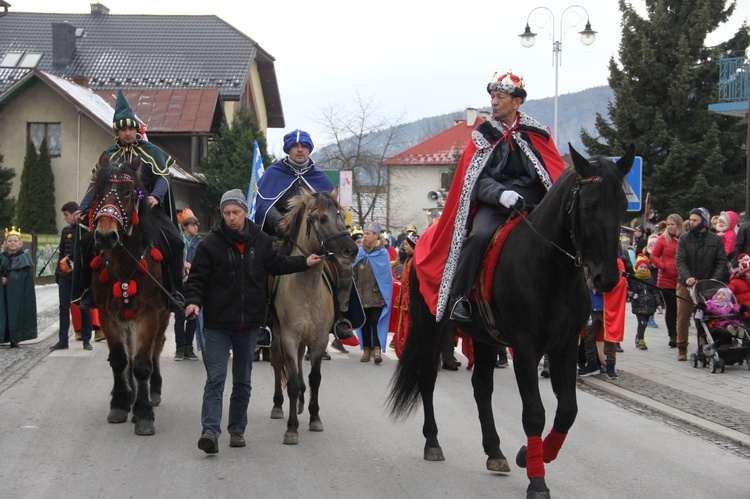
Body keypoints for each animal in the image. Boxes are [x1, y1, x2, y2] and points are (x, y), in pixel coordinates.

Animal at [89, 154, 171, 436]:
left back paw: (152, 391)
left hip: (162, 316)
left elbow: (142, 362)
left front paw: (144, 414)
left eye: (127, 192)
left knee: (156, 349)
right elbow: (119, 360)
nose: (105, 236)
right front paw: (120, 403)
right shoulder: (107, 314)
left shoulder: (148, 313)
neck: (126, 260)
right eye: (97, 192)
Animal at [268, 189, 360, 448]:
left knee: (300, 364)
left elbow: (314, 378)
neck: (307, 287)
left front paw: (315, 418)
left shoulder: (319, 339)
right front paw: (291, 430)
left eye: (340, 215)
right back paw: (278, 406)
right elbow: (292, 380)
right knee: (278, 363)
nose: (351, 250)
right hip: (277, 333)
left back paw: (300, 401)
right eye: (321, 218)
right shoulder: (288, 337)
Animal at [390, 143, 636, 498]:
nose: (607, 279)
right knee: (427, 379)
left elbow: (567, 411)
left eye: (622, 207)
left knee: (481, 387)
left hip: (483, 336)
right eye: (588, 206)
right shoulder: (525, 348)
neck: (550, 268)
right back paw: (433, 442)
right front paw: (537, 481)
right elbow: (534, 413)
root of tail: (421, 240)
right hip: (430, 326)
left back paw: (495, 451)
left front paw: (529, 455)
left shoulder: (563, 347)